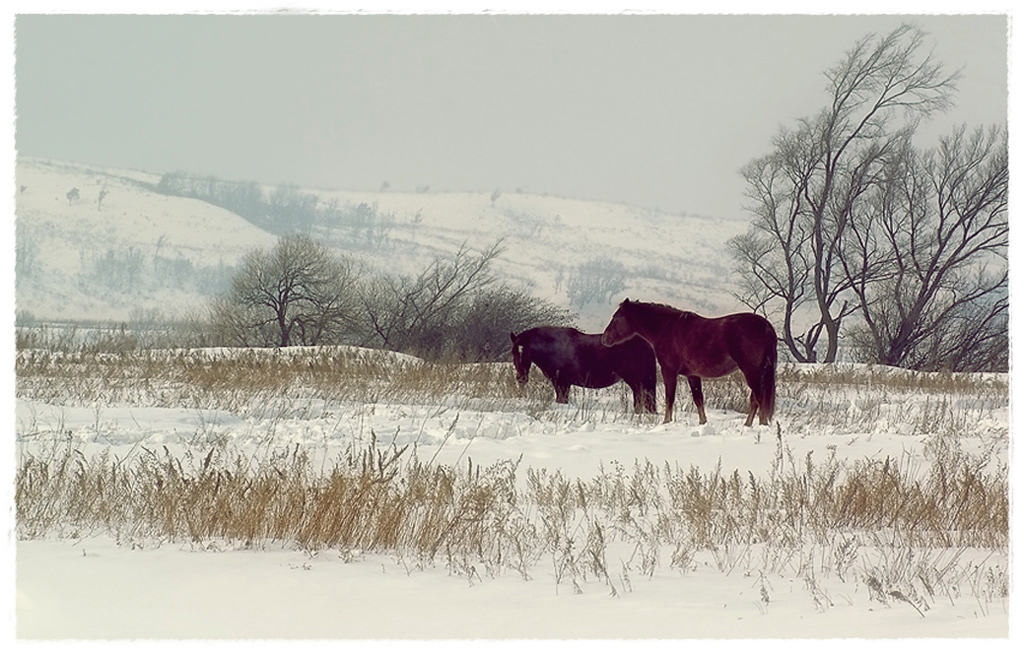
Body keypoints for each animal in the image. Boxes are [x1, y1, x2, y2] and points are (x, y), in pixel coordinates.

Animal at [598, 300, 774, 427]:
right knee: (755, 399)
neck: (665, 328)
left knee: (759, 397)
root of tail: (765, 326)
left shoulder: (669, 371)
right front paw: (703, 423)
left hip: (751, 371)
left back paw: (762, 425)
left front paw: (666, 422)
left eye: (616, 317)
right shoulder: (692, 375)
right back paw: (748, 425)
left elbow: (669, 398)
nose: (604, 339)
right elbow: (698, 399)